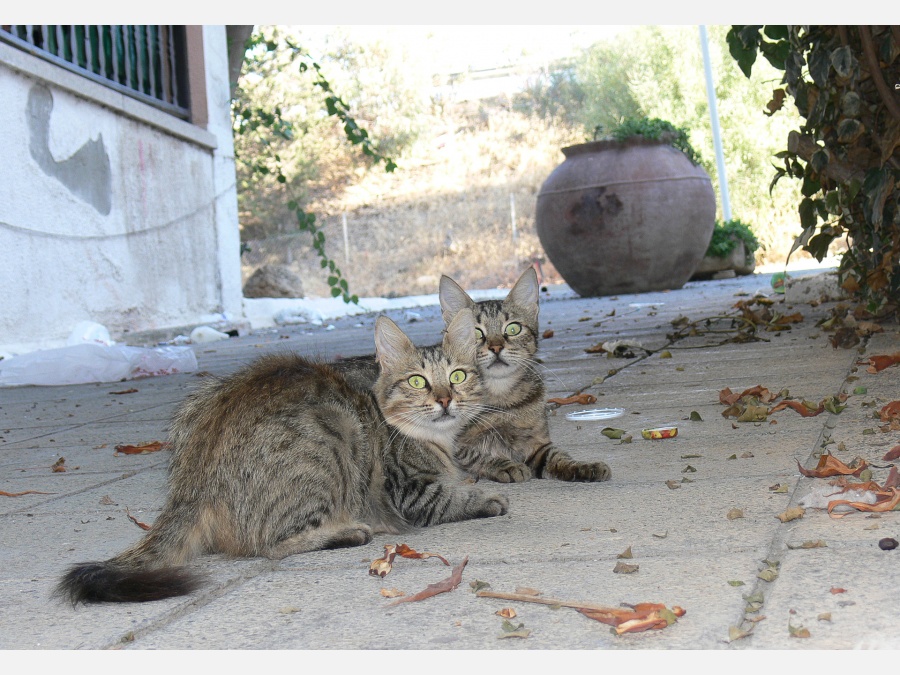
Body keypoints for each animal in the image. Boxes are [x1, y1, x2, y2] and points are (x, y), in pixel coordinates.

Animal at [56, 308, 506, 604]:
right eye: (417, 381)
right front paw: (486, 497)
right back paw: (347, 531)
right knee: (270, 545)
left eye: (458, 376)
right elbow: (451, 497)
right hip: (331, 439)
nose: (445, 399)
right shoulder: (409, 490)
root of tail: (192, 482)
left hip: (200, 399)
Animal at [438, 270, 612, 486]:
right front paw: (506, 465)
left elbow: (558, 457)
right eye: (476, 332)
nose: (496, 347)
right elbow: (478, 456)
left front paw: (584, 467)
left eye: (513, 329)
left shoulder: (538, 445)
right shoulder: (456, 446)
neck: (502, 399)